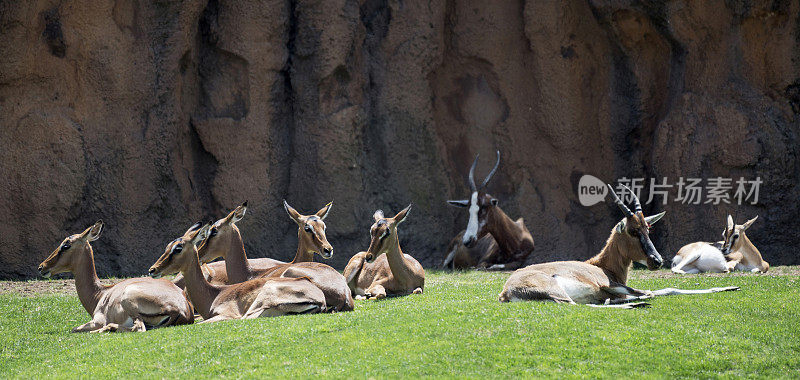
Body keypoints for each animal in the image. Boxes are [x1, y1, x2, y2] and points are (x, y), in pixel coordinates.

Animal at [38, 221, 195, 332]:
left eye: (66, 245)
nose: (42, 267)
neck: (101, 293)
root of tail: (181, 309)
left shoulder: (97, 321)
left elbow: (74, 329)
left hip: (129, 301)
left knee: (138, 328)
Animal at [148, 223, 326, 324]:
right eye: (167, 247)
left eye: (178, 248)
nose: (152, 270)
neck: (213, 295)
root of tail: (320, 299)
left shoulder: (227, 315)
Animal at [496, 185, 740, 308]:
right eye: (633, 230)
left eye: (647, 229)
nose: (657, 261)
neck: (599, 265)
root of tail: (506, 291)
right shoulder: (609, 285)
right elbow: (656, 291)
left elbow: (668, 288)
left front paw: (731, 287)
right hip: (561, 292)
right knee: (580, 305)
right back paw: (632, 304)